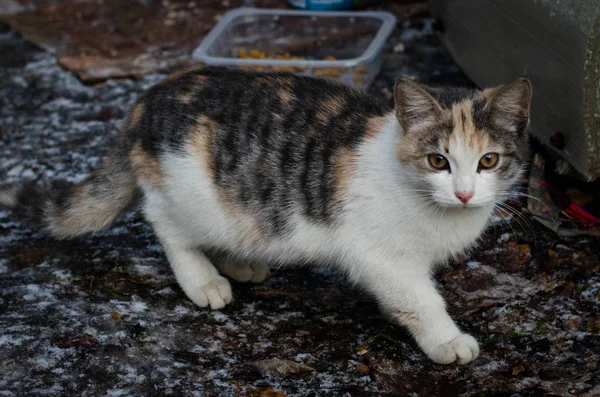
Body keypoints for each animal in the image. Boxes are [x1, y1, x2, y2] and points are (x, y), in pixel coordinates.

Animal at [0, 66, 536, 364]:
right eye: (438, 161)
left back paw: (239, 262)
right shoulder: (381, 257)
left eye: (488, 161)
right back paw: (203, 279)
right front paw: (447, 341)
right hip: (189, 194)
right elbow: (420, 300)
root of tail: (146, 100)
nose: (465, 194)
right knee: (164, 222)